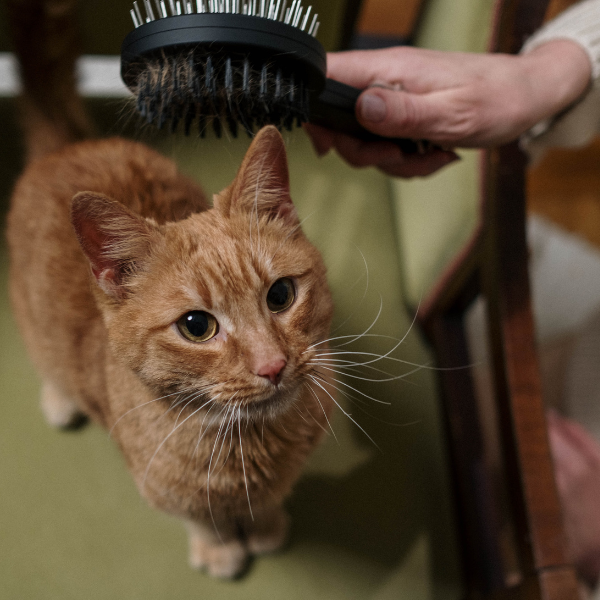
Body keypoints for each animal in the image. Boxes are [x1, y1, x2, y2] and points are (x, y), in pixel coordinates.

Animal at [7, 0, 332, 576]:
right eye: (196, 326)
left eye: (280, 296)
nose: (272, 366)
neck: (247, 447)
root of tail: (72, 144)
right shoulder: (161, 487)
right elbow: (199, 517)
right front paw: (220, 549)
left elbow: (271, 501)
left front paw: (266, 526)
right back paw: (59, 398)